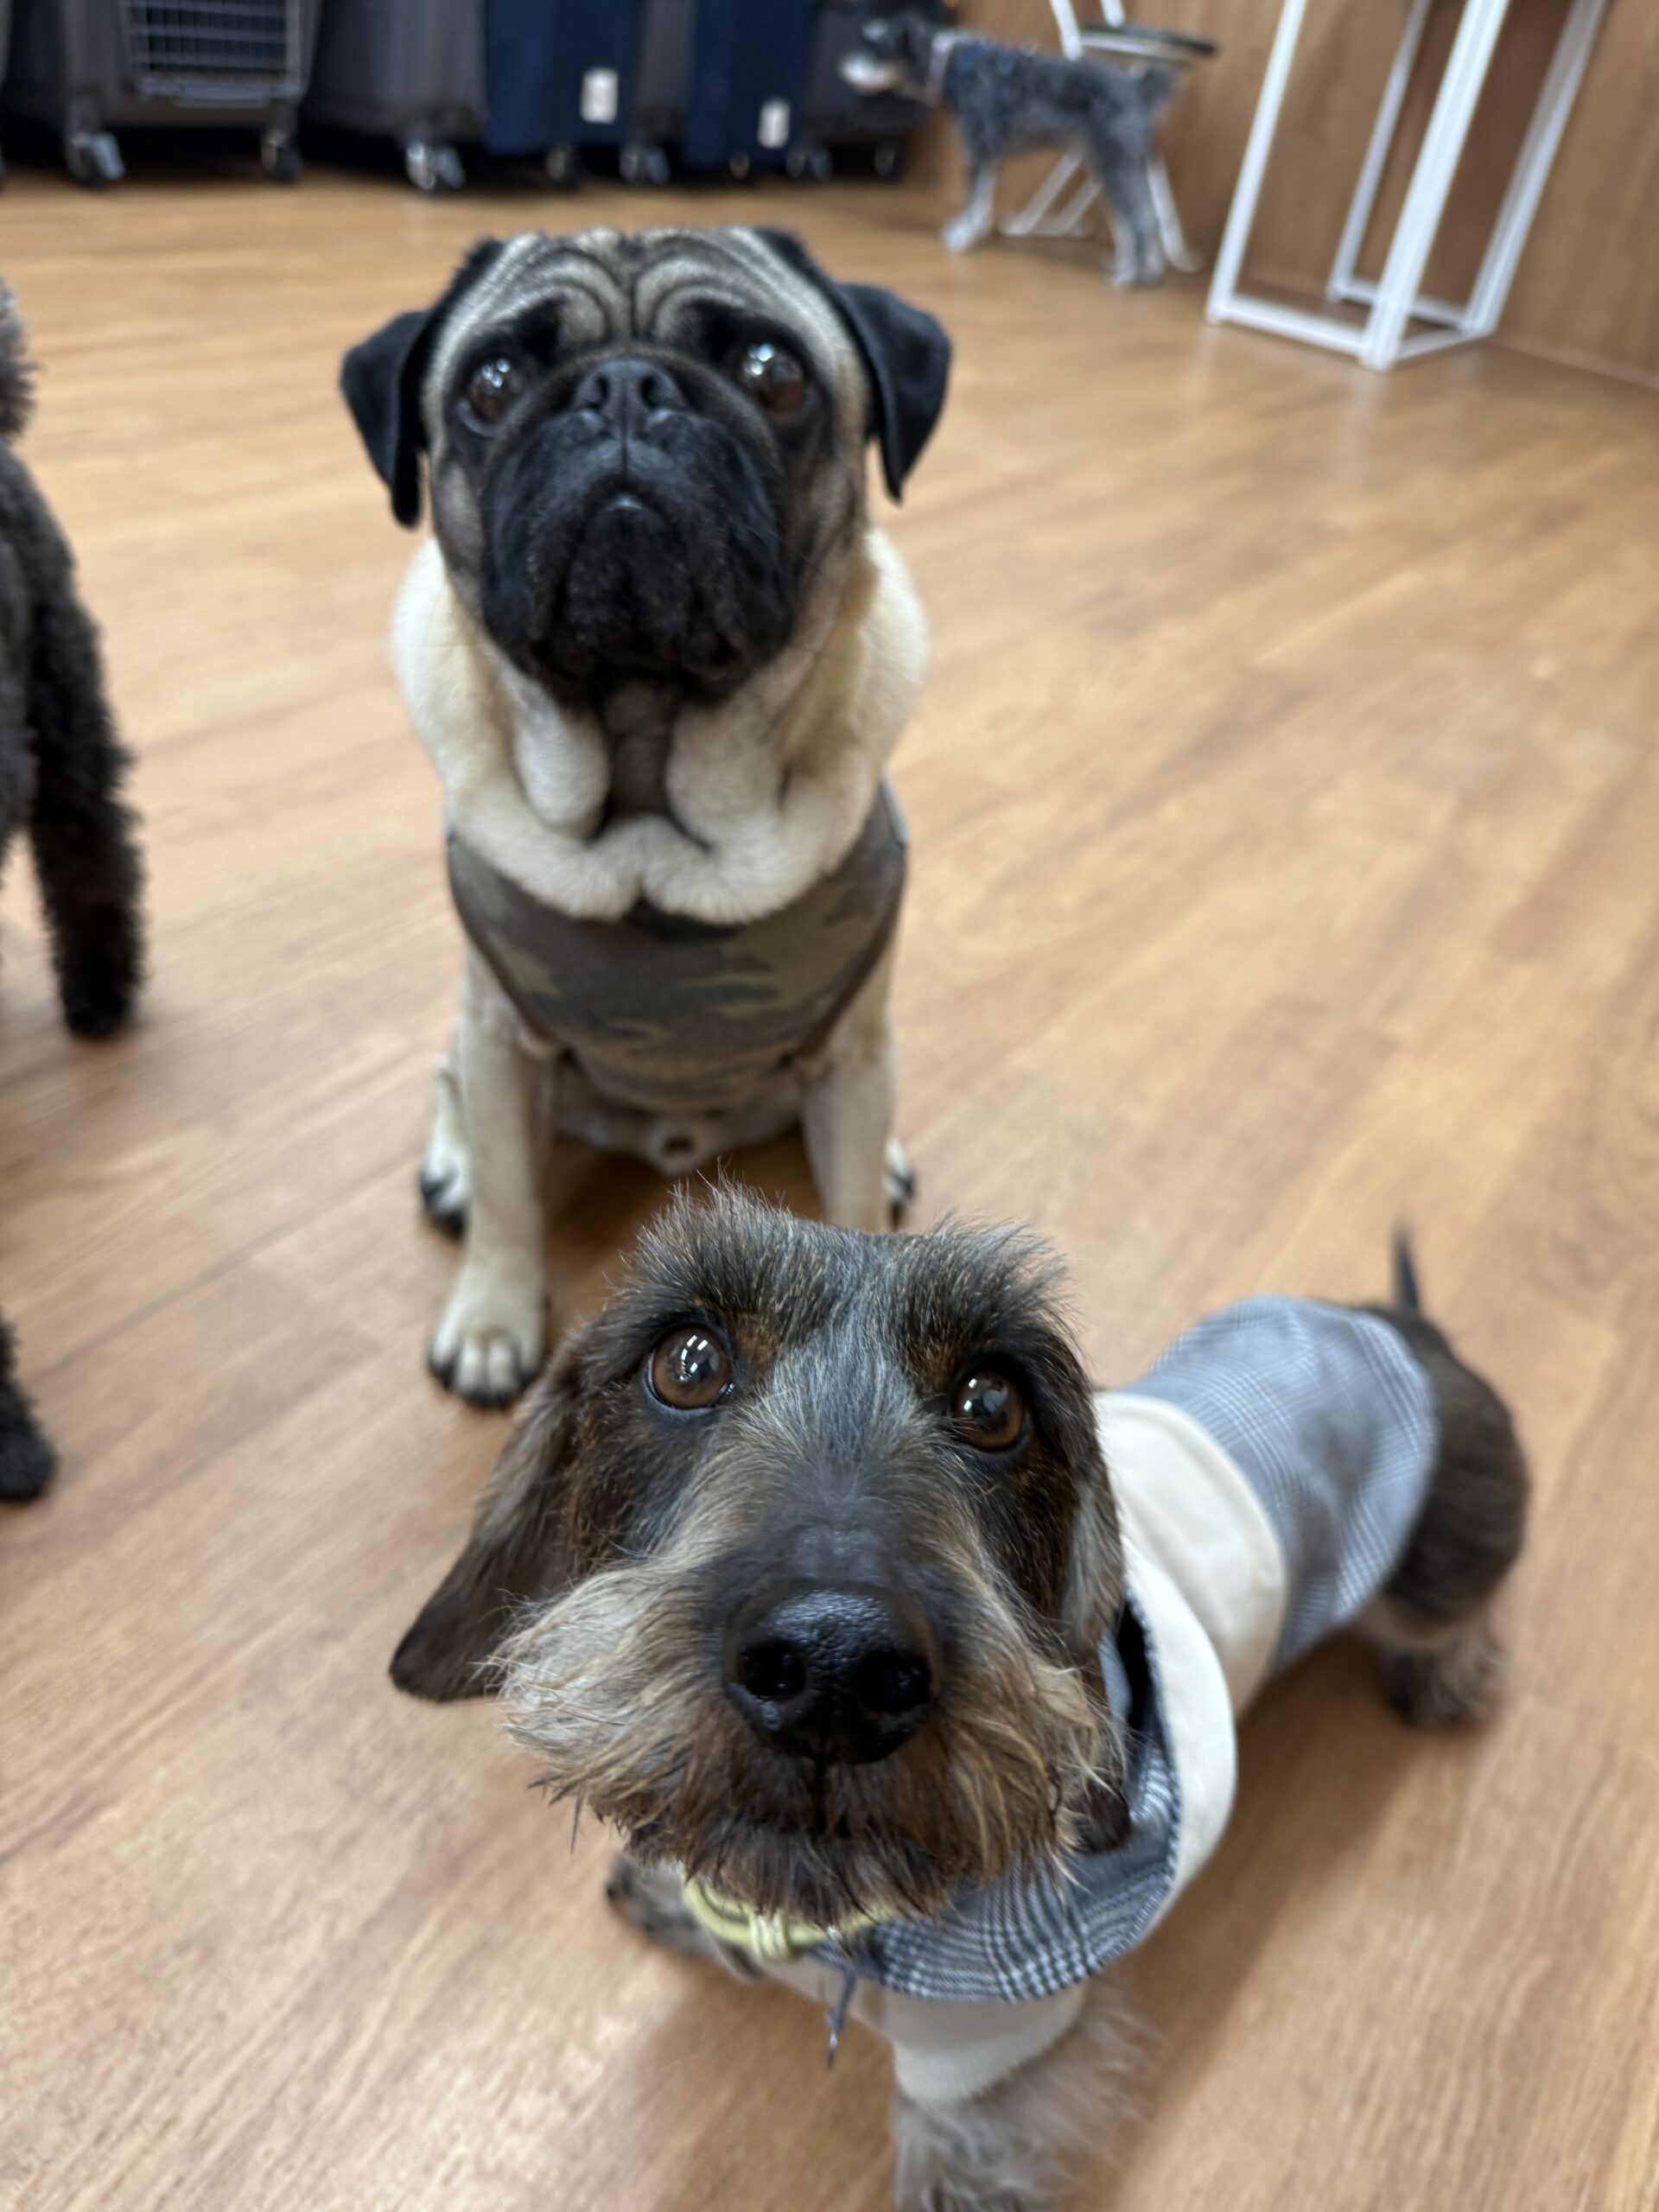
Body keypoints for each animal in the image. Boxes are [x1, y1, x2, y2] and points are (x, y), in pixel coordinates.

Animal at [340, 227, 950, 1409]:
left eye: (773, 373)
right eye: (492, 384)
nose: (625, 387)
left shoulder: (853, 1055)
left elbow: (853, 1202)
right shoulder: (503, 1038)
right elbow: (512, 1199)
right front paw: (493, 1314)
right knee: (456, 1093)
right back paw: (452, 1167)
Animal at [392, 1188, 1528, 2210]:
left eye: (993, 1403)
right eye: (690, 1361)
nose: (835, 1668)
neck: (844, 1911)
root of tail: (1404, 1330)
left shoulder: (999, 2047)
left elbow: (964, 2143)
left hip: (1435, 1568)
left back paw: (1445, 1674)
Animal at [843, 9, 1211, 285]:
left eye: (877, 49)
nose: (843, 67)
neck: (950, 66)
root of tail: (1138, 88)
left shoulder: (977, 150)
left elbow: (972, 200)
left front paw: (960, 237)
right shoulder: (990, 157)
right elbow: (983, 202)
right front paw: (973, 232)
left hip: (1114, 162)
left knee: (1141, 220)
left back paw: (1134, 276)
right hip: (1114, 164)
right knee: (1136, 218)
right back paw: (1133, 268)